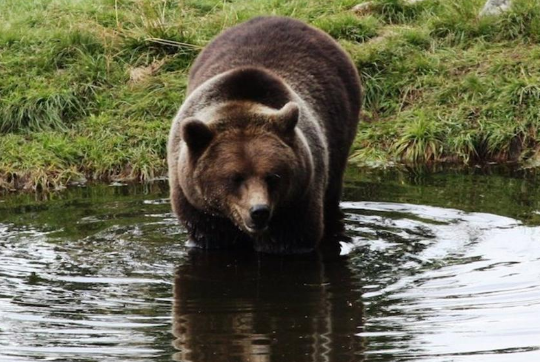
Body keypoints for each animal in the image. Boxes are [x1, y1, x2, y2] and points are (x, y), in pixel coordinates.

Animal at [168, 17, 362, 253]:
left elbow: (292, 242)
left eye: (273, 176)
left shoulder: (299, 203)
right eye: (234, 177)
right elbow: (211, 239)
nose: (259, 211)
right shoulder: (200, 210)